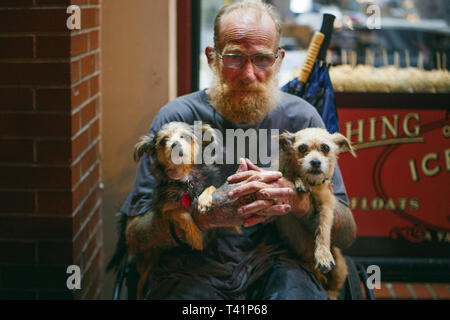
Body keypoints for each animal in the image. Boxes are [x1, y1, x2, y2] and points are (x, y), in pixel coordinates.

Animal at [276, 126, 356, 298]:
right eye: (302, 148)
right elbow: (290, 174)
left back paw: (331, 293)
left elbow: (323, 229)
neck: (311, 184)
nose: (315, 162)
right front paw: (298, 180)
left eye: (325, 148)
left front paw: (323, 255)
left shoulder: (326, 205)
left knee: (333, 288)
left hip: (339, 266)